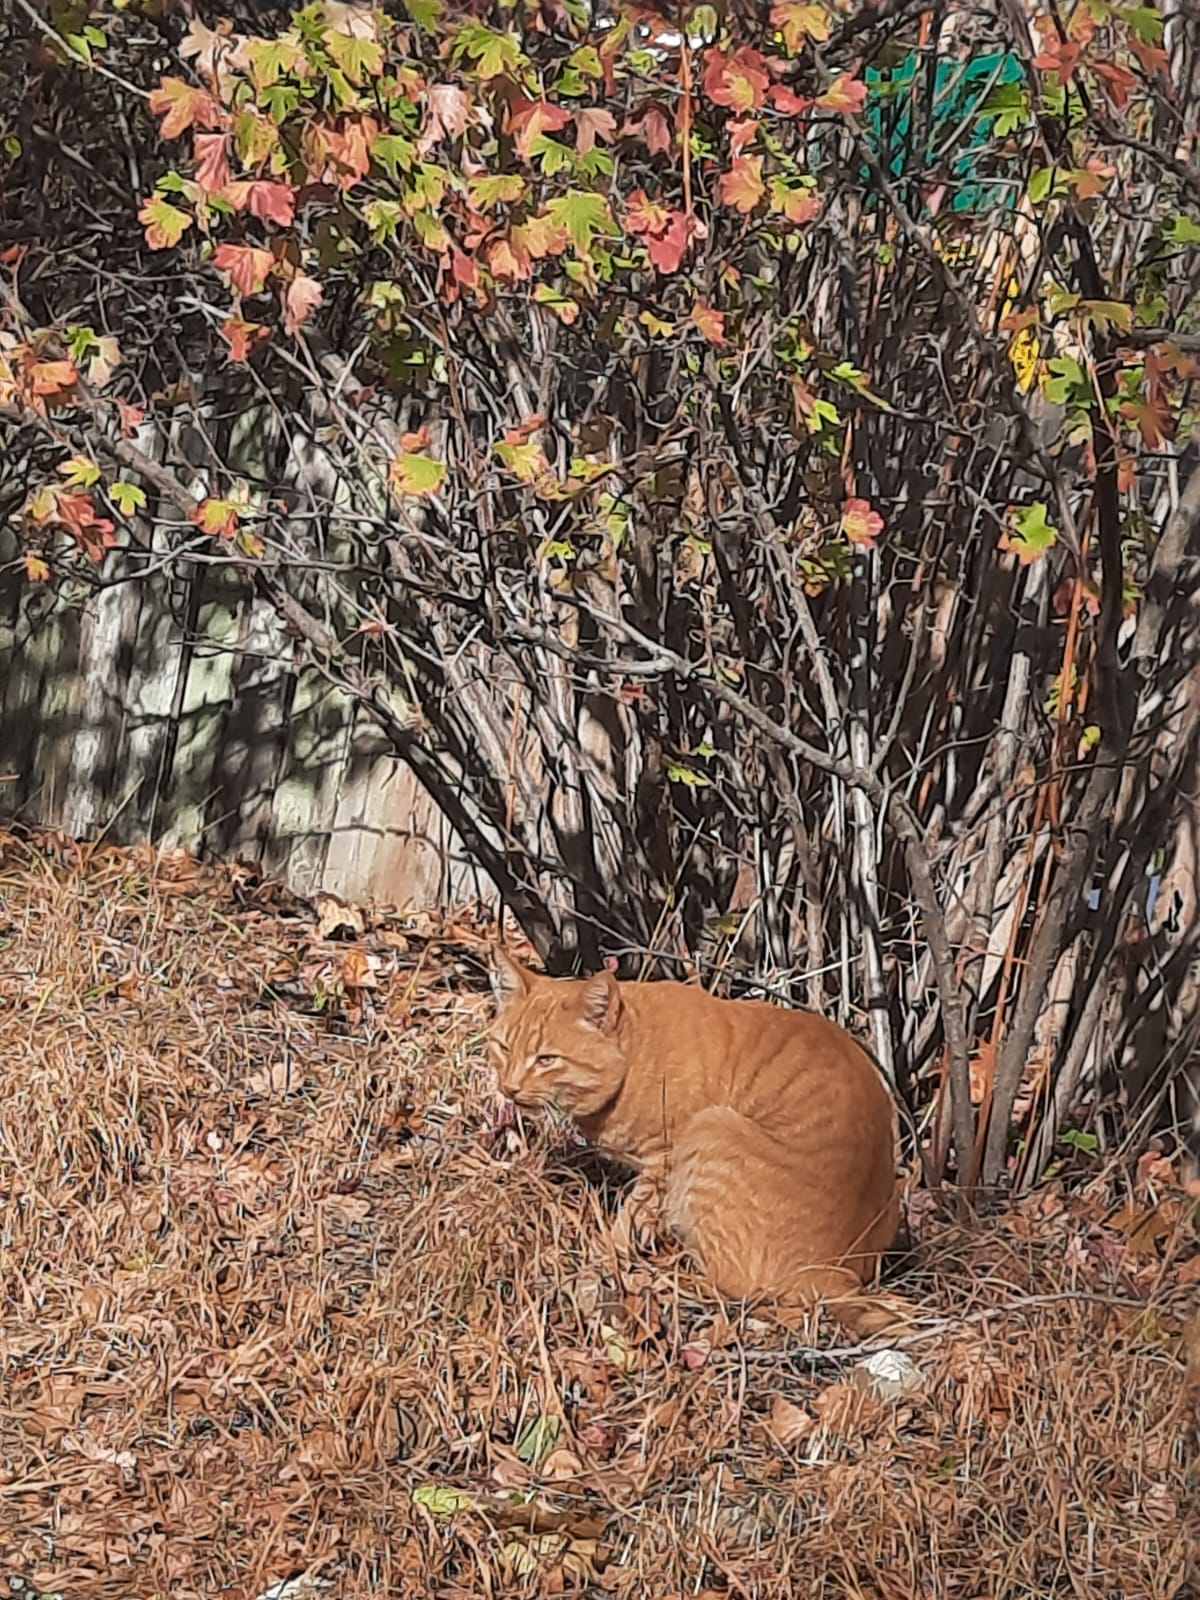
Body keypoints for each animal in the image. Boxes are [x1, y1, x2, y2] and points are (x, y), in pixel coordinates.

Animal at [489, 947, 908, 1337]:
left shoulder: (664, 1162)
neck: (633, 1052)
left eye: (546, 1059)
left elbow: (628, 1221)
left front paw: (601, 1257)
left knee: (730, 1285)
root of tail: (834, 1273)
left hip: (711, 1128)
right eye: (504, 1048)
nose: (508, 1088)